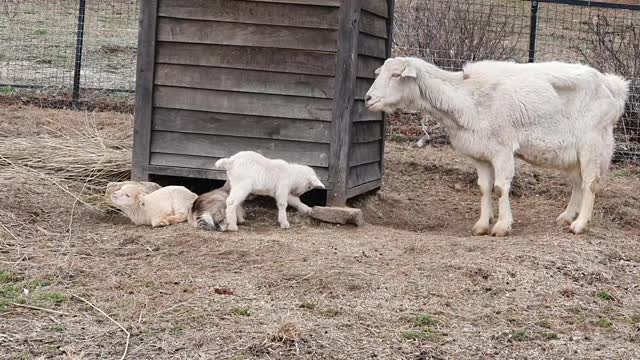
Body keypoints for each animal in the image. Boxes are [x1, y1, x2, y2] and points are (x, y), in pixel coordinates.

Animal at [364, 57, 632, 235]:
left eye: (396, 75)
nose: (368, 99)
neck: (467, 96)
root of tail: (613, 87)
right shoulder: (482, 154)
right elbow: (484, 188)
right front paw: (482, 225)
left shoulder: (503, 149)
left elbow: (502, 188)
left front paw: (502, 226)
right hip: (572, 152)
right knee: (577, 182)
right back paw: (566, 217)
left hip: (592, 143)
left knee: (590, 182)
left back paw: (579, 224)